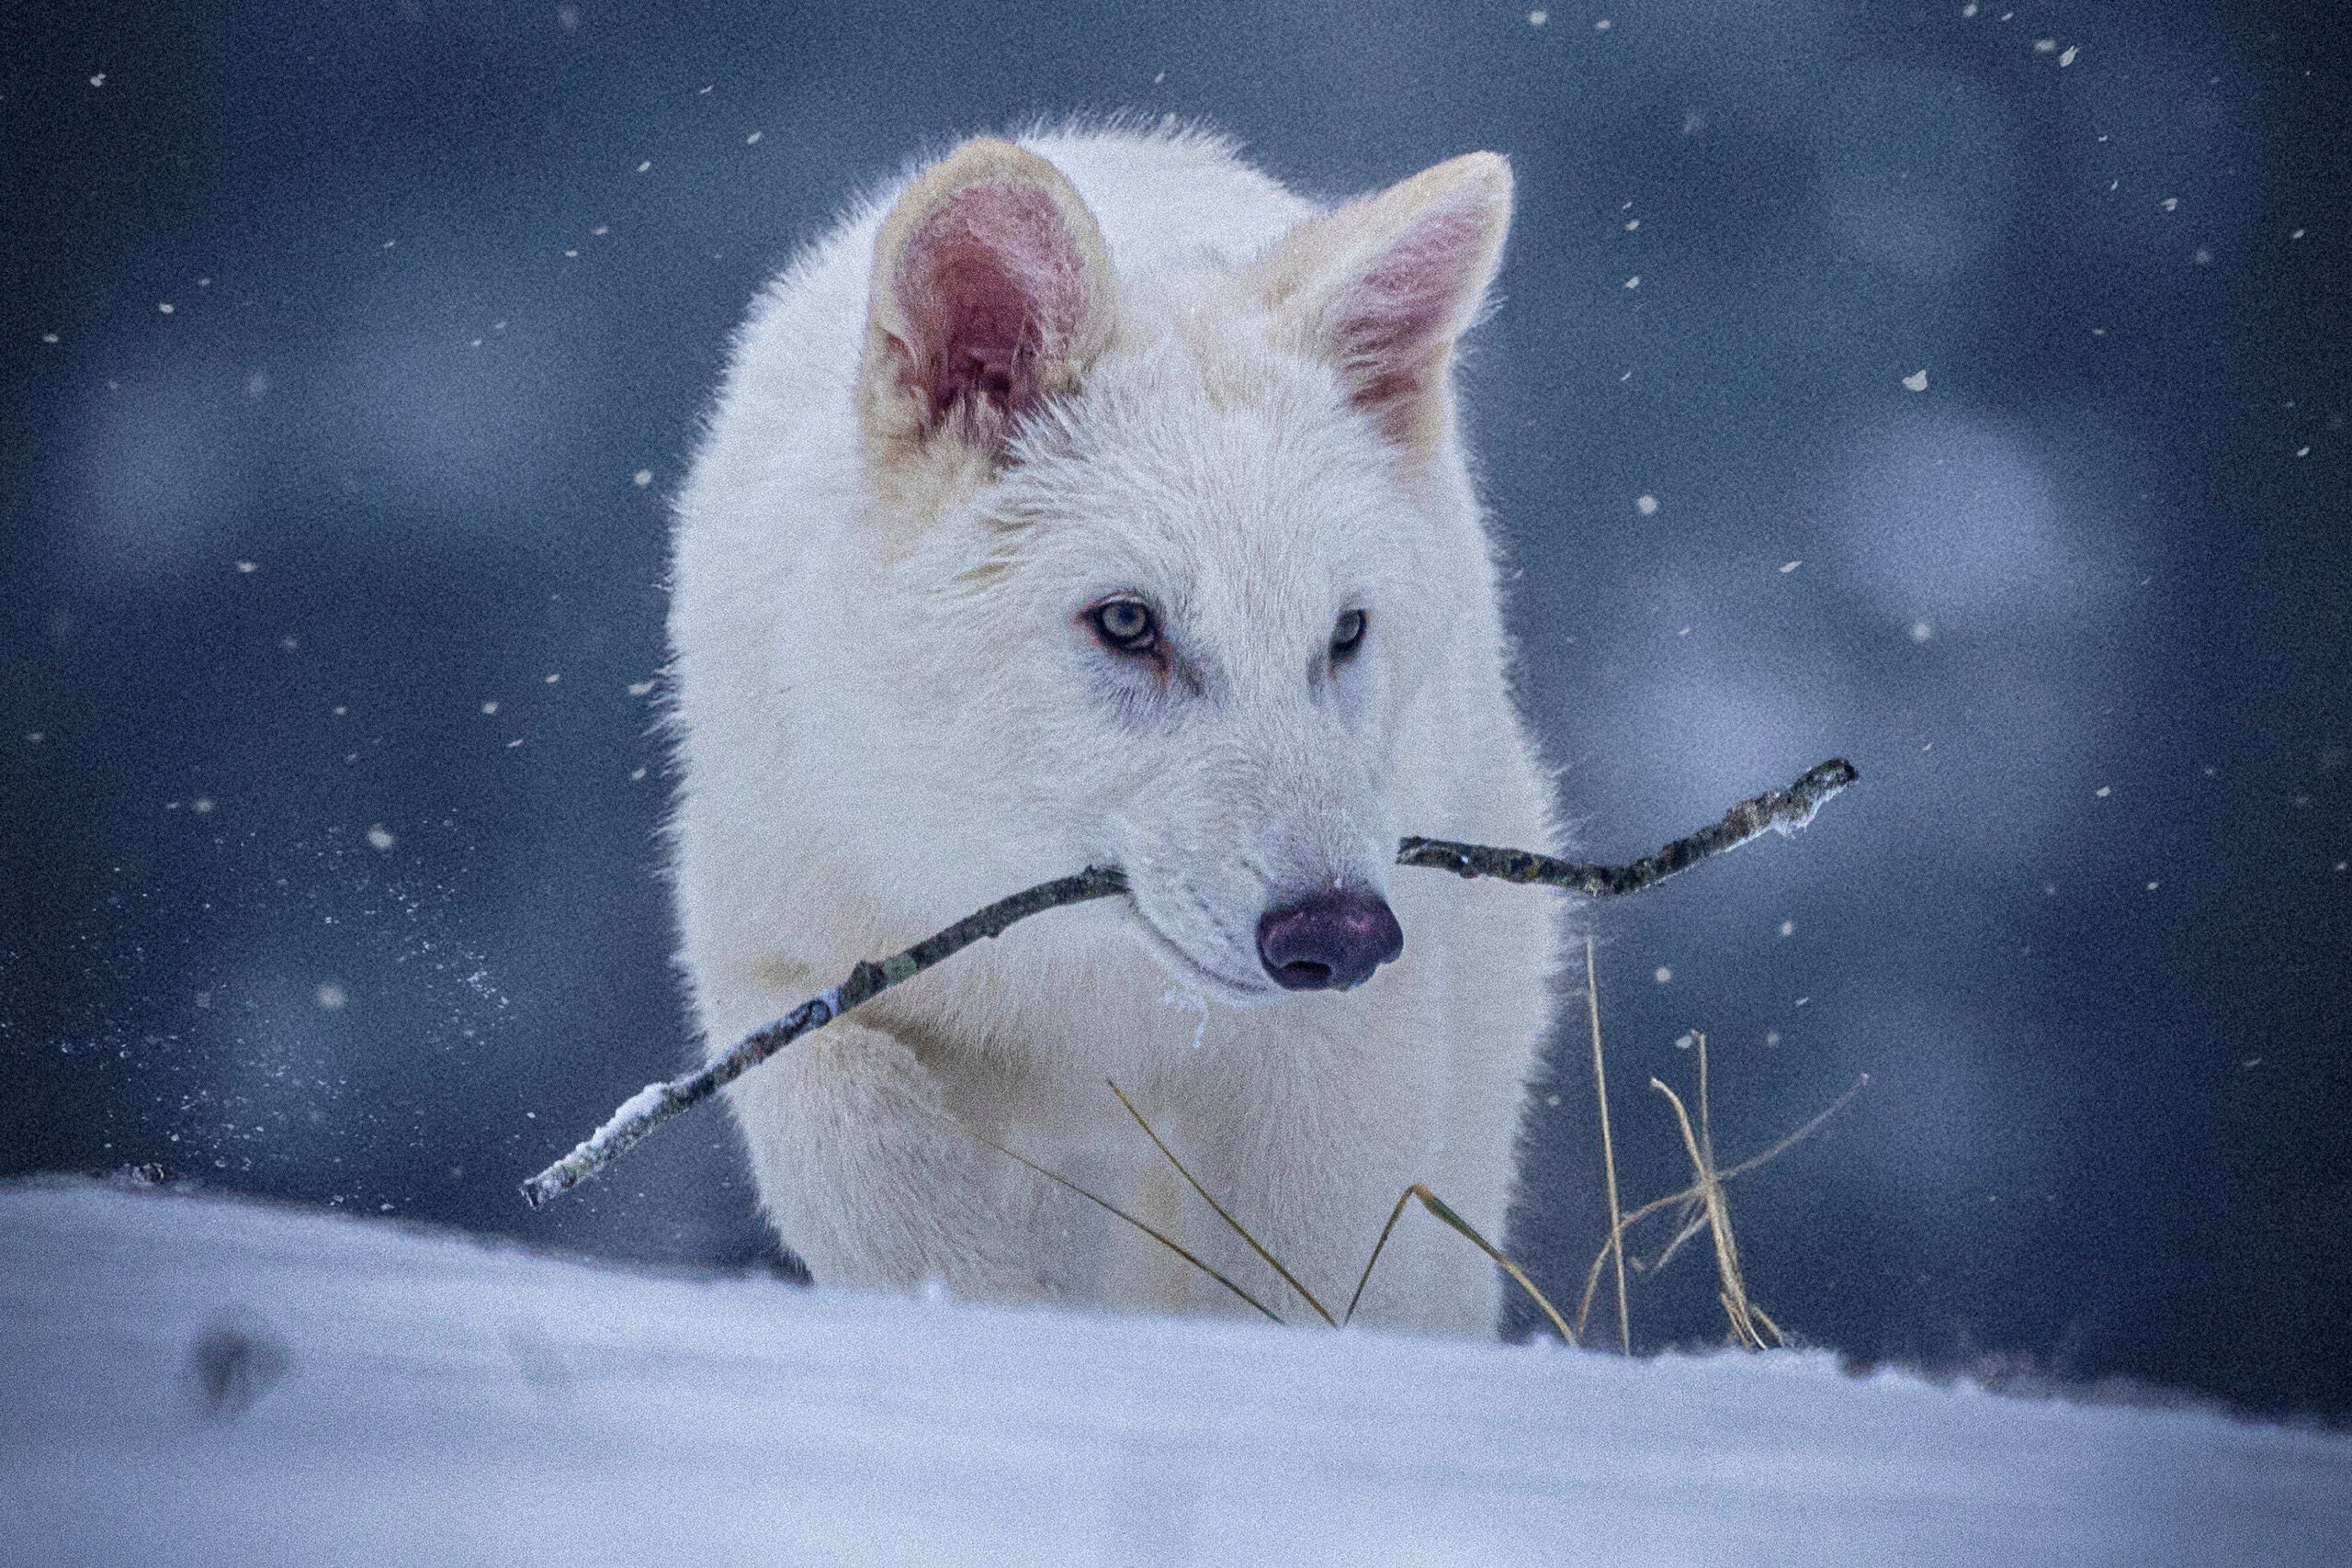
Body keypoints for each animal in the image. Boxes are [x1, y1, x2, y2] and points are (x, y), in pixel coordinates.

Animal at [667, 123, 1563, 1336]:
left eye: (1343, 633)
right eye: (1128, 623)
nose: (1339, 935)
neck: (1078, 977)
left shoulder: (1332, 1062)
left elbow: (1300, 1290)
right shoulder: (781, 974)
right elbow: (873, 1174)